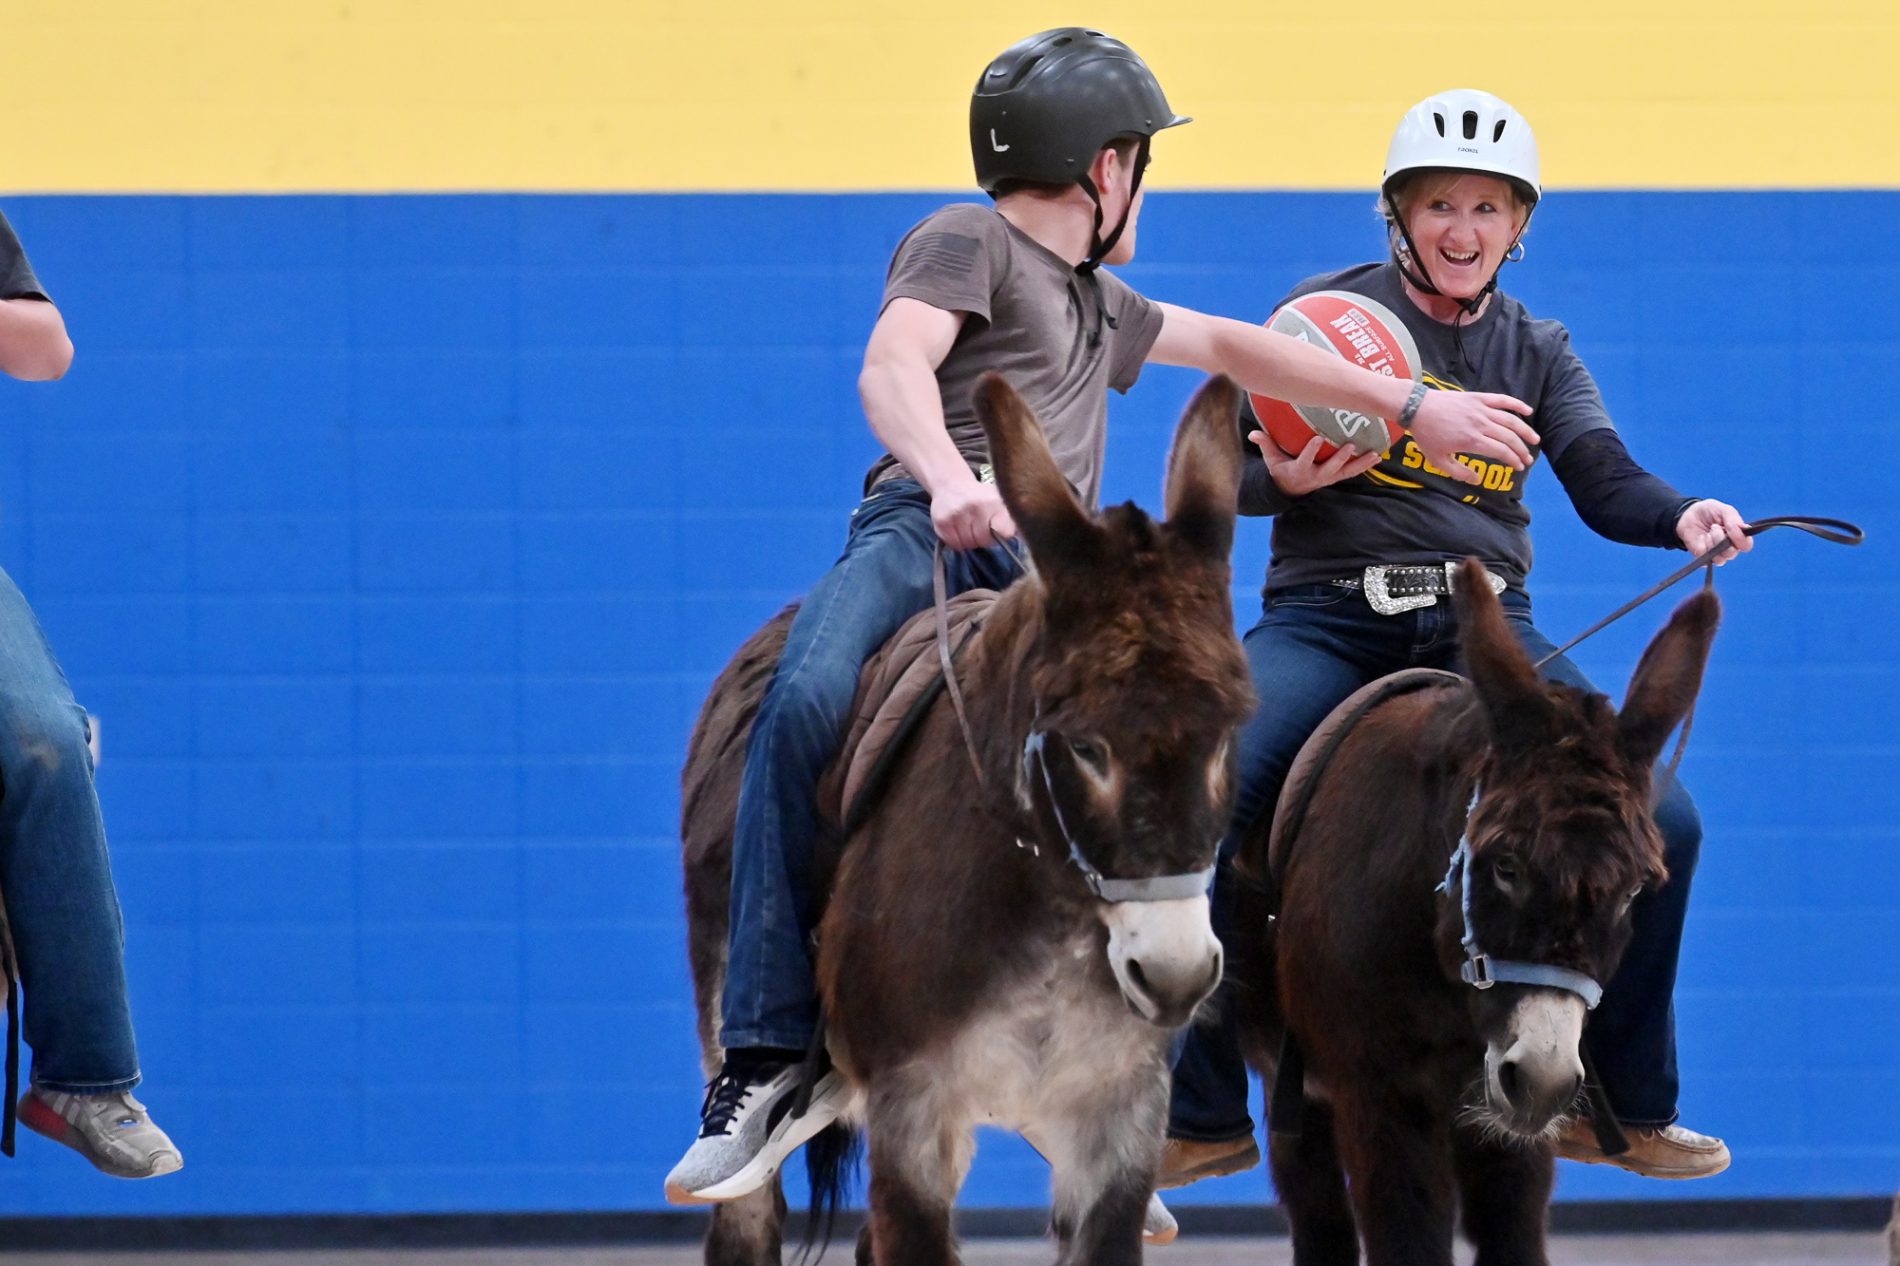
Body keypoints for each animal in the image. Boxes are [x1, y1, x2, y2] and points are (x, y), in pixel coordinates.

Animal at [680, 374, 1256, 1266]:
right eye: (1085, 745)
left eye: (1229, 730)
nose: (1175, 975)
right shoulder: (914, 1114)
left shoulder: (1118, 1124)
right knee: (746, 1223)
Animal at [1228, 559, 1720, 1266]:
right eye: (1505, 865)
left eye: (1633, 891)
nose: (1540, 1078)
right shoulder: (1382, 1104)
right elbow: (1408, 1241)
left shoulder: (1512, 1134)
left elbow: (1514, 1237)